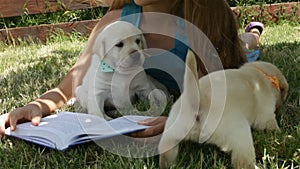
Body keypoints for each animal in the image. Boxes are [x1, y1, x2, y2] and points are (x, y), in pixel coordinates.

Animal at [159, 49, 288, 169]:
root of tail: (197, 100)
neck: (261, 74)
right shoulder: (265, 116)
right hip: (240, 134)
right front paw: (279, 134)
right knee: (242, 161)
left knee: (166, 152)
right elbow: (271, 126)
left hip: (172, 133)